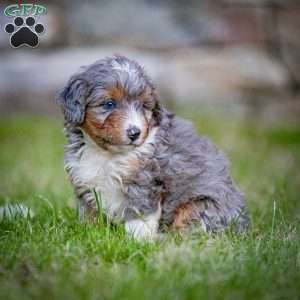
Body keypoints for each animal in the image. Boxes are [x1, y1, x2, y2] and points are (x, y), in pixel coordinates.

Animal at [57, 54, 250, 241]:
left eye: (143, 105)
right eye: (109, 104)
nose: (135, 133)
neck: (108, 154)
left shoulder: (145, 180)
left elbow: (139, 215)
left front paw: (137, 241)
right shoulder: (85, 180)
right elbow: (90, 213)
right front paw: (89, 232)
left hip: (199, 206)